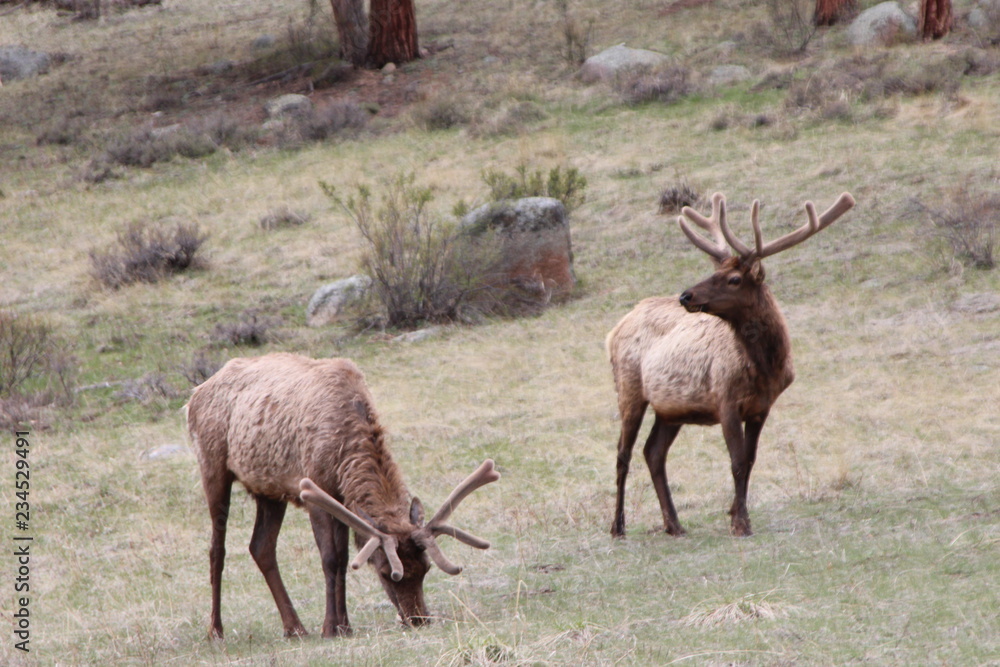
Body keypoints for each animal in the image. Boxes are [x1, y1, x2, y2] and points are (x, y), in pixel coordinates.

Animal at [185, 352, 500, 639]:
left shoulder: (341, 501)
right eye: (386, 572)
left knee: (261, 547)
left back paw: (295, 628)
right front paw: (329, 628)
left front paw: (344, 625)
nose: (418, 619)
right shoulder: (315, 491)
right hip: (213, 466)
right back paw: (216, 630)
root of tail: (193, 396)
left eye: (425, 568)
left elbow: (345, 559)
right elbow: (330, 559)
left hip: (268, 489)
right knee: (217, 549)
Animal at [607, 191, 855, 538]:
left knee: (653, 452)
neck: (765, 368)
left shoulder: (762, 407)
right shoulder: (724, 399)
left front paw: (737, 514)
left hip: (671, 408)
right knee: (622, 454)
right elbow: (736, 461)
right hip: (628, 388)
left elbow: (749, 462)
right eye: (714, 271)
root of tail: (616, 328)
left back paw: (674, 524)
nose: (686, 295)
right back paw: (618, 526)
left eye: (734, 279)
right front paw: (740, 523)